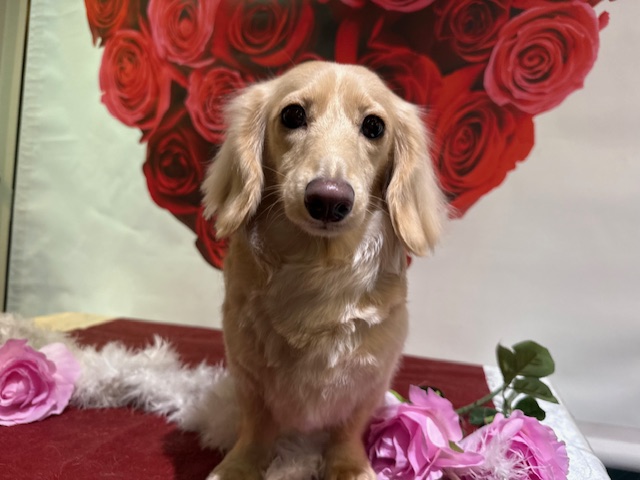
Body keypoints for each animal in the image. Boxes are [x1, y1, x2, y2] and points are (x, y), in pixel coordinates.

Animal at [202, 61, 446, 480]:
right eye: (292, 115)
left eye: (374, 126)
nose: (329, 200)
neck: (318, 266)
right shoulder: (249, 377)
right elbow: (256, 428)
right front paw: (239, 466)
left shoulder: (368, 380)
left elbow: (346, 430)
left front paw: (349, 467)